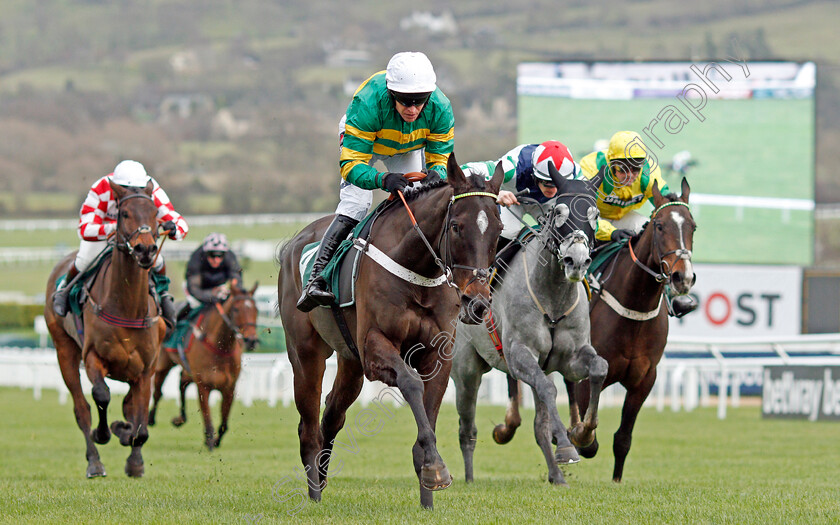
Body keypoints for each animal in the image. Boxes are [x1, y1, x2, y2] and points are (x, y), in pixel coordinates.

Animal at [44, 181, 166, 478]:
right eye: (124, 213)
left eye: (154, 212)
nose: (146, 250)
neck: (127, 308)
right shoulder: (92, 357)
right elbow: (101, 395)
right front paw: (104, 433)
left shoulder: (146, 368)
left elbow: (140, 422)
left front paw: (134, 459)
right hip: (64, 350)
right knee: (81, 409)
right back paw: (95, 462)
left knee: (129, 406)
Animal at [148, 280, 260, 448]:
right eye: (236, 309)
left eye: (256, 309)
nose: (251, 340)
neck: (220, 347)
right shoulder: (203, 385)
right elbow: (207, 416)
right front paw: (209, 441)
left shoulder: (229, 387)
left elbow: (224, 422)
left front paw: (216, 440)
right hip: (163, 363)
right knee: (158, 392)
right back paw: (151, 419)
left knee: (182, 383)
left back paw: (180, 419)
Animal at [276, 154, 502, 510]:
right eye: (456, 226)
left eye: (499, 229)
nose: (477, 302)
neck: (417, 269)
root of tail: (292, 245)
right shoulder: (374, 346)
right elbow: (411, 384)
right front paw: (435, 467)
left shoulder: (437, 354)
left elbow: (429, 406)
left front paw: (428, 491)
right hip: (306, 353)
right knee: (309, 426)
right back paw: (313, 494)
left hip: (350, 360)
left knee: (333, 414)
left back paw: (322, 478)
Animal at [456, 170, 608, 486]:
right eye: (558, 212)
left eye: (595, 214)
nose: (576, 260)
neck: (553, 301)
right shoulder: (519, 355)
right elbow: (549, 389)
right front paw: (566, 446)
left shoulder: (572, 358)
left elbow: (599, 368)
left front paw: (583, 435)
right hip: (465, 371)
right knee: (467, 429)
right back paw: (467, 479)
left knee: (539, 422)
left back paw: (557, 475)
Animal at [492, 179, 696, 484]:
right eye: (660, 226)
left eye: (693, 226)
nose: (682, 277)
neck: (634, 309)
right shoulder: (586, 373)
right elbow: (586, 431)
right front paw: (573, 438)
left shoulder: (645, 378)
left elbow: (623, 438)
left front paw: (616, 480)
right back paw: (514, 426)